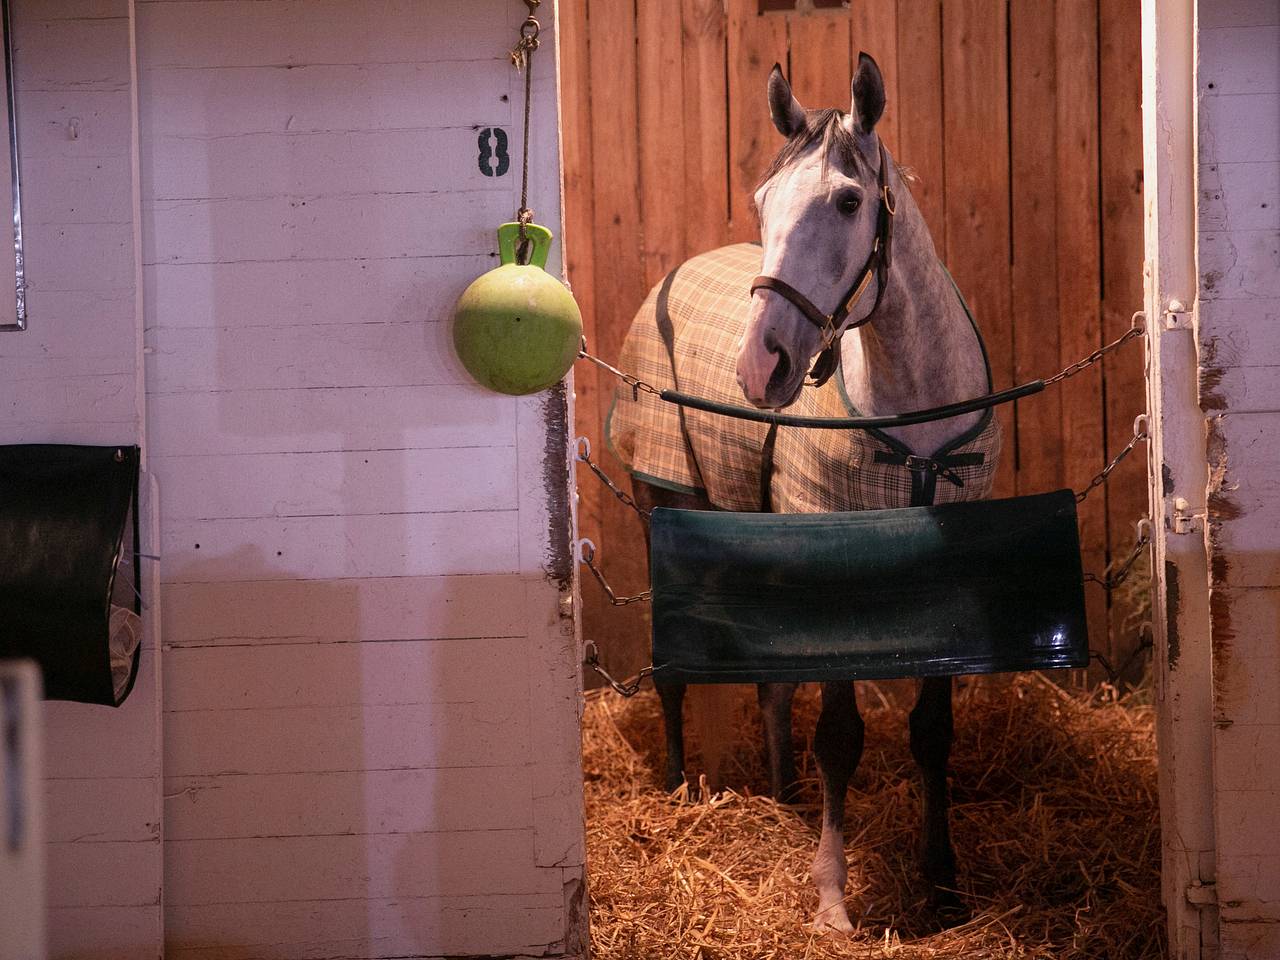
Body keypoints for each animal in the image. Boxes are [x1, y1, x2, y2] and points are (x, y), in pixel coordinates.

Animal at [627, 56, 988, 936]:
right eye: (763, 201)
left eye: (849, 201)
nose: (763, 369)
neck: (912, 417)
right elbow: (841, 735)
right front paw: (831, 895)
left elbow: (932, 731)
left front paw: (943, 885)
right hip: (659, 503)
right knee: (675, 668)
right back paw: (679, 784)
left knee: (772, 679)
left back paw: (782, 789)